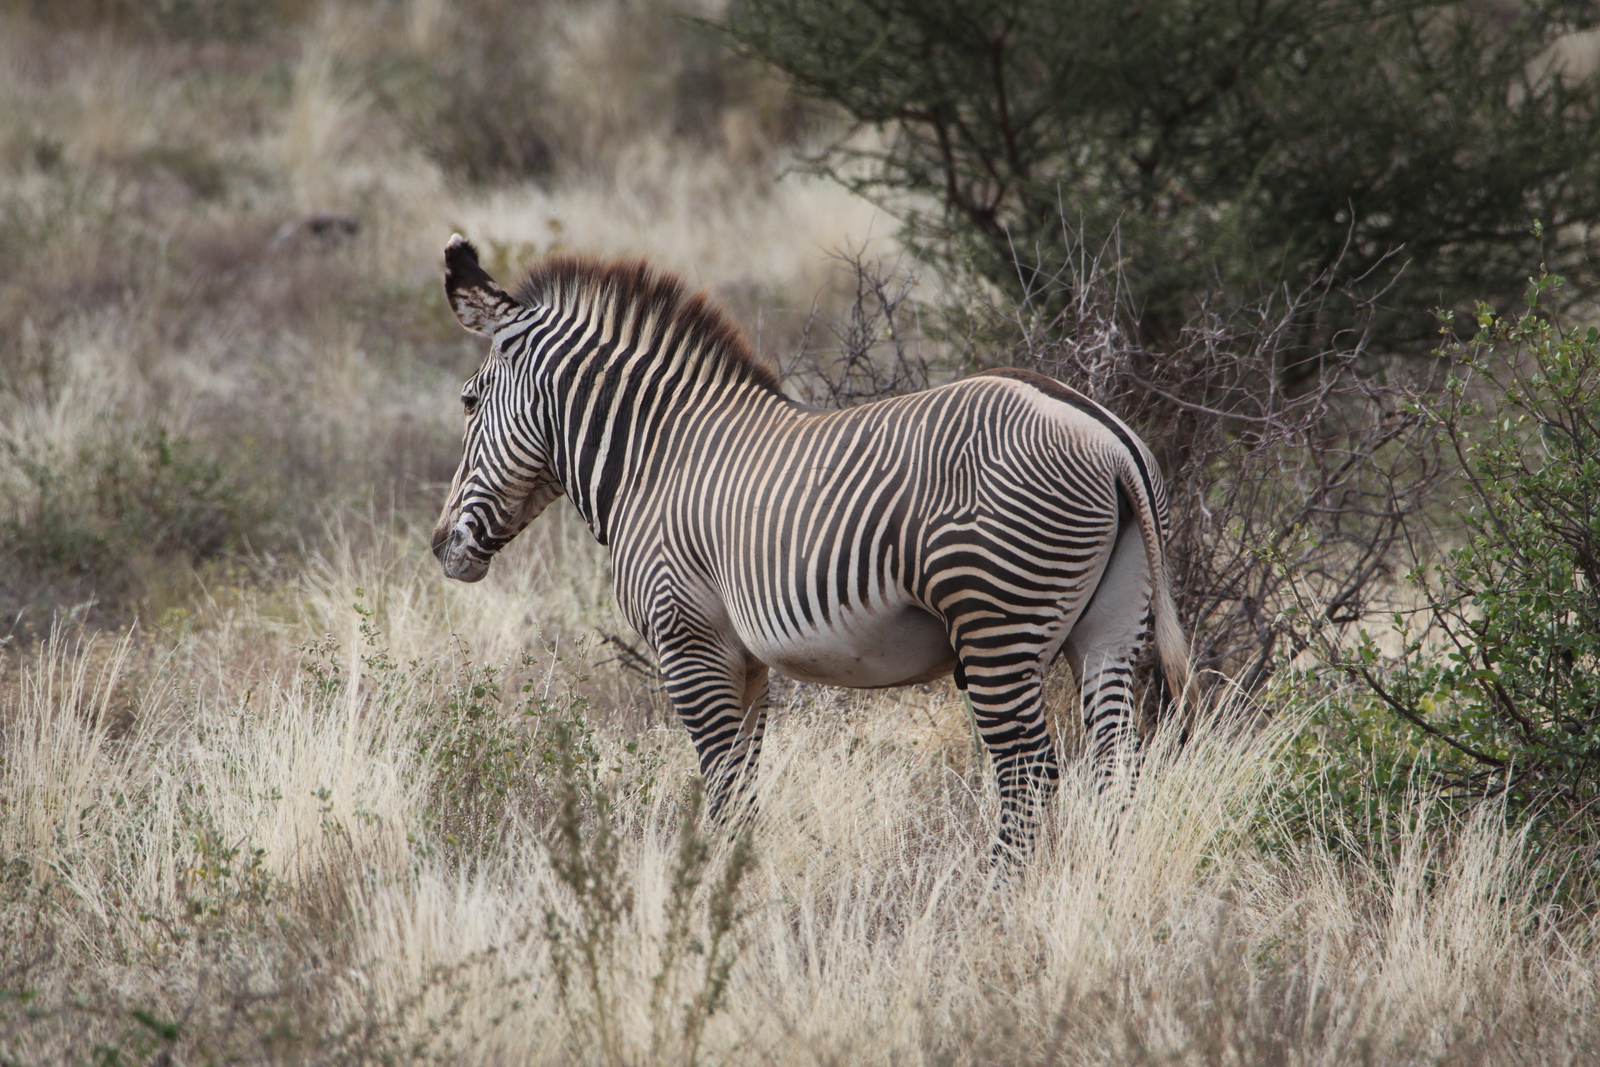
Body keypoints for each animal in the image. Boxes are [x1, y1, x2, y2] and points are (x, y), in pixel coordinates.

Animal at [428, 238, 1190, 857]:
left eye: (469, 401)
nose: (440, 547)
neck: (658, 459)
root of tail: (1106, 435)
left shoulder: (687, 642)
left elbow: (723, 788)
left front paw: (717, 906)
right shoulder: (744, 661)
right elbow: (743, 792)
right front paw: (740, 885)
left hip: (997, 621)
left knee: (1030, 774)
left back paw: (996, 899)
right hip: (1111, 622)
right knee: (1116, 764)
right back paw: (1092, 894)